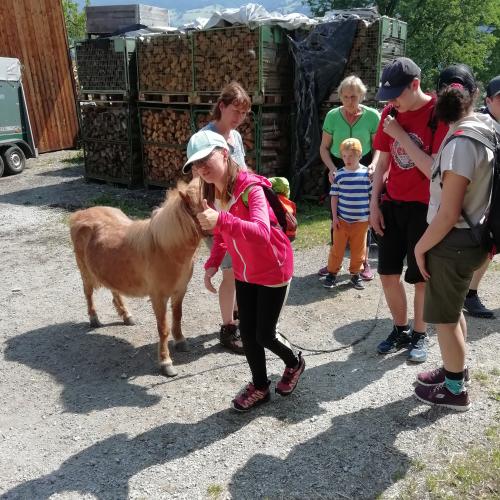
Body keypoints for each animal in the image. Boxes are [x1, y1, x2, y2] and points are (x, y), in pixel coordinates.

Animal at [69, 178, 204, 376]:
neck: (165, 248)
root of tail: (80, 214)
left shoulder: (180, 292)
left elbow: (178, 317)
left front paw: (180, 341)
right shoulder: (158, 297)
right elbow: (163, 329)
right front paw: (166, 363)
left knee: (114, 290)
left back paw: (126, 316)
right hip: (85, 272)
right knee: (88, 293)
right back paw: (94, 319)